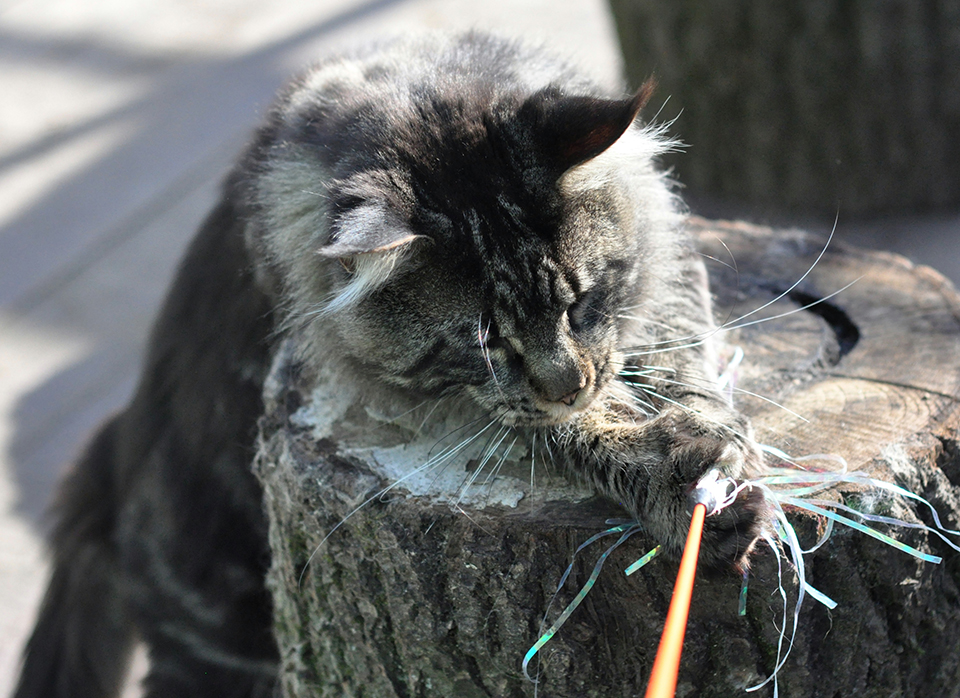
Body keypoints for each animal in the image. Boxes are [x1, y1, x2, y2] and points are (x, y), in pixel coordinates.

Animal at [13, 28, 764, 696]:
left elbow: (677, 350)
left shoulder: (664, 258)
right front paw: (674, 482)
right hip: (221, 647)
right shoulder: (441, 399)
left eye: (579, 302)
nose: (569, 385)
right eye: (486, 344)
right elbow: (571, 428)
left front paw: (716, 440)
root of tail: (112, 453)